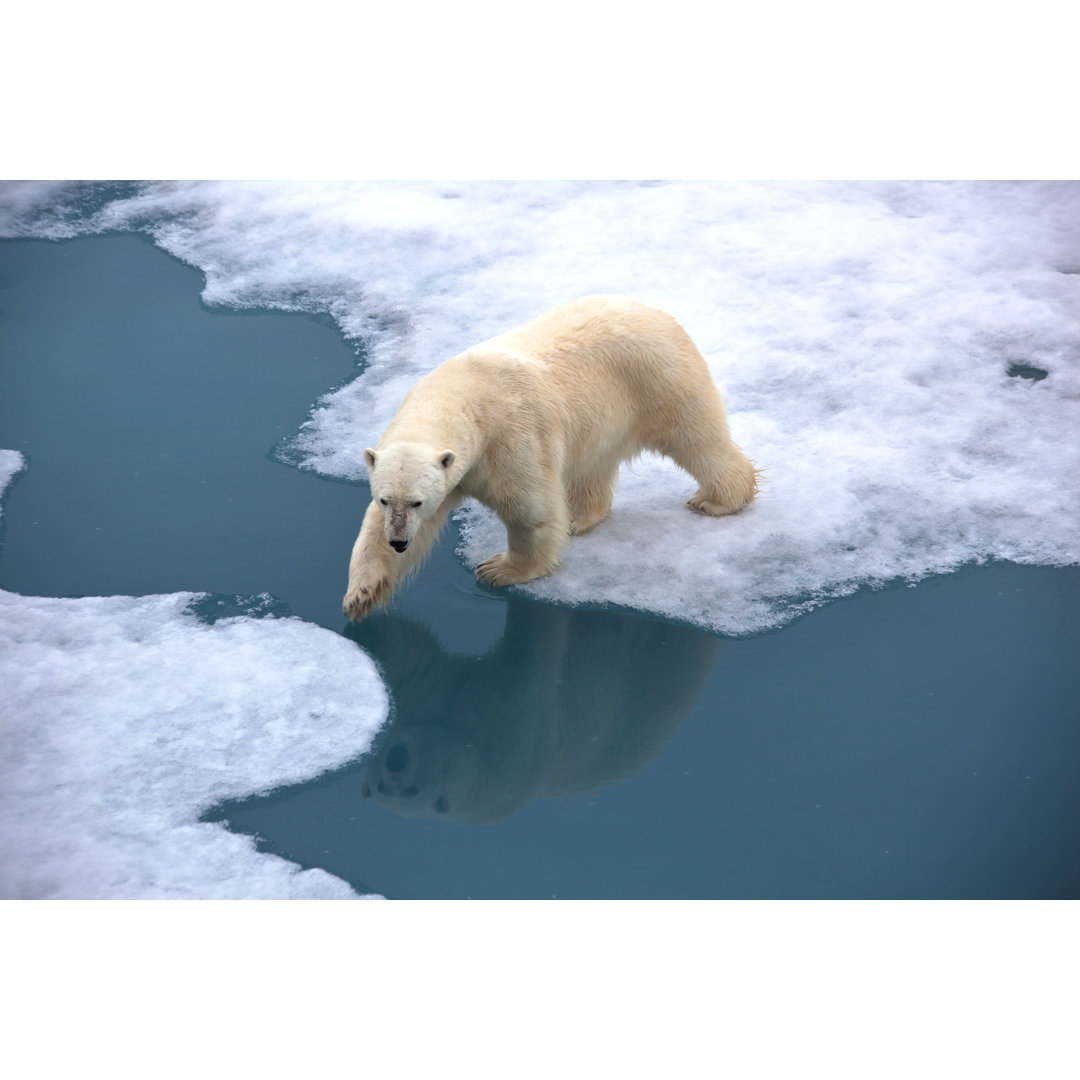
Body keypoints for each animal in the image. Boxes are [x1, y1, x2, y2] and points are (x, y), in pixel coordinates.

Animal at [341, 291, 756, 622]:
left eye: (417, 500)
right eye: (386, 499)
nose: (398, 542)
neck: (464, 396)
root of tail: (654, 311)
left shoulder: (510, 437)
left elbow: (530, 510)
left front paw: (498, 569)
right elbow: (374, 527)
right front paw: (361, 594)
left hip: (658, 379)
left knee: (697, 438)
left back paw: (716, 500)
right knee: (591, 468)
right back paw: (578, 518)